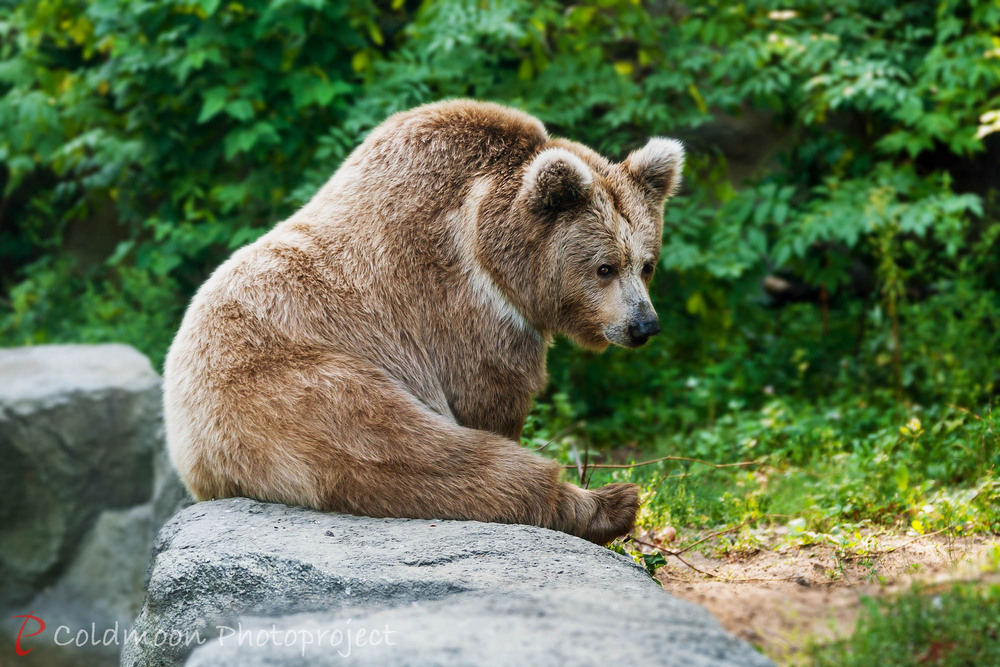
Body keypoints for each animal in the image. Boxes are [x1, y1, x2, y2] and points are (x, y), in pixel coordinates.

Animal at [162, 100, 688, 548]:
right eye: (605, 267)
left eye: (647, 264)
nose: (644, 325)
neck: (495, 250)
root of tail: (186, 438)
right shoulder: (459, 306)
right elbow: (488, 396)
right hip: (298, 390)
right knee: (427, 456)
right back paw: (611, 502)